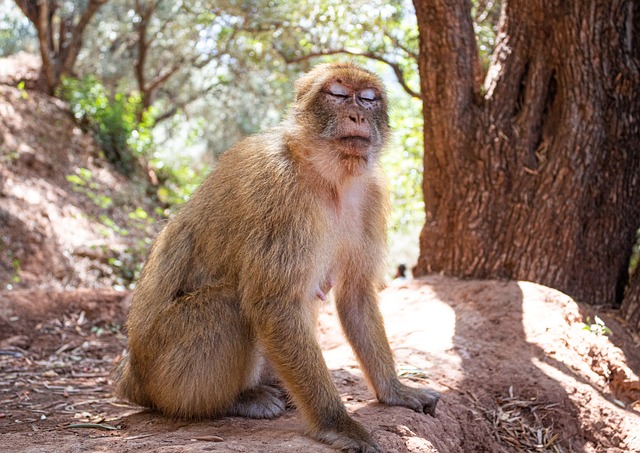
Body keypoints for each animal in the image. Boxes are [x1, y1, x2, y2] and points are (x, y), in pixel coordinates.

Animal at [112, 62, 438, 452]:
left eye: (368, 99)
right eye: (338, 94)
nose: (357, 115)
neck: (327, 177)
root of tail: (132, 378)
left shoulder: (370, 194)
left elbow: (356, 295)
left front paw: (395, 390)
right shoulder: (280, 191)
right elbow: (274, 305)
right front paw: (337, 423)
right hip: (164, 373)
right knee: (228, 305)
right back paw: (236, 400)